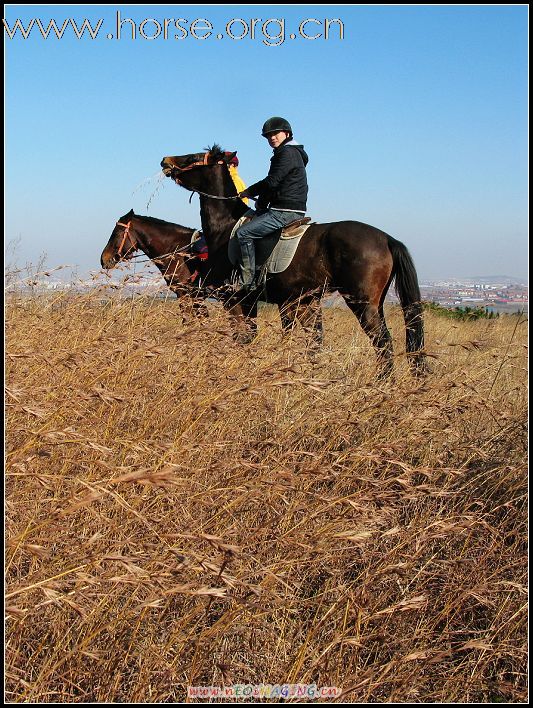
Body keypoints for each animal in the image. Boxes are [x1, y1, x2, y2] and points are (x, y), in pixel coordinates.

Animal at [161, 145, 428, 376]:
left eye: (194, 157)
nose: (165, 161)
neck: (226, 228)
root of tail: (387, 238)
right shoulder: (286, 302)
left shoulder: (235, 298)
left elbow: (241, 337)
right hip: (353, 304)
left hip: (362, 303)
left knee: (383, 343)